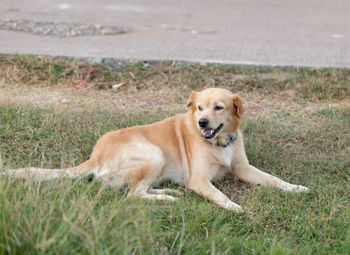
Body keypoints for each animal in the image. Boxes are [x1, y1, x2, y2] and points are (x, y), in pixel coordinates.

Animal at [4, 88, 308, 212]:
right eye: (200, 107)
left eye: (218, 107)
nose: (202, 122)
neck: (219, 142)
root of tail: (95, 156)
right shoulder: (199, 180)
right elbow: (220, 195)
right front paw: (233, 206)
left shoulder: (242, 167)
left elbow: (273, 179)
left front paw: (296, 188)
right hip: (154, 154)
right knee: (132, 195)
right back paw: (168, 199)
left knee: (138, 190)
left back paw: (168, 192)